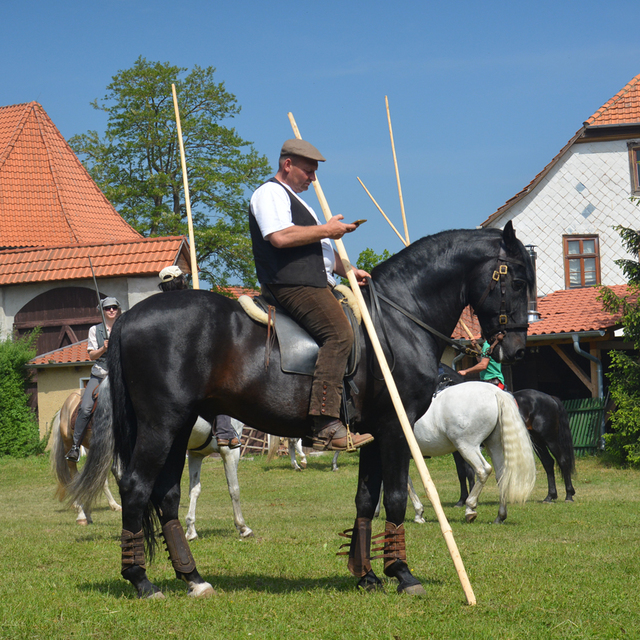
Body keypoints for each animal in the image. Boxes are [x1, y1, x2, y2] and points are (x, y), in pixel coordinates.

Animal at [416, 382, 536, 524]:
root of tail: (495, 391)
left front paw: (418, 513)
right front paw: (418, 512)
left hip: (467, 446)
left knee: (482, 470)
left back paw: (470, 508)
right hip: (494, 445)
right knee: (501, 475)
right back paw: (500, 516)